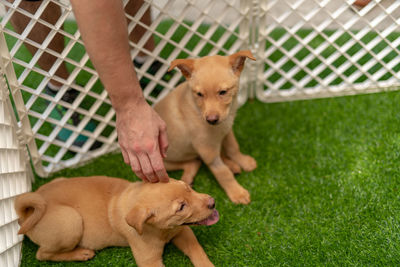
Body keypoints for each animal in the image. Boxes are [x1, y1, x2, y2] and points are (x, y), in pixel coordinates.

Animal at [14, 177, 219, 266]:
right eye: (181, 207)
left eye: (188, 188)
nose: (213, 202)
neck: (162, 231)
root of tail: (26, 215)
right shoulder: (149, 260)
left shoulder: (183, 231)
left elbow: (198, 251)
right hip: (70, 221)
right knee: (42, 254)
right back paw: (80, 254)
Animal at [155, 50, 258, 205]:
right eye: (199, 94)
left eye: (223, 92)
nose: (211, 120)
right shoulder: (207, 150)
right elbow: (223, 173)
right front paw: (237, 193)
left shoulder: (227, 130)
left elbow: (233, 147)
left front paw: (243, 161)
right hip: (160, 164)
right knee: (193, 162)